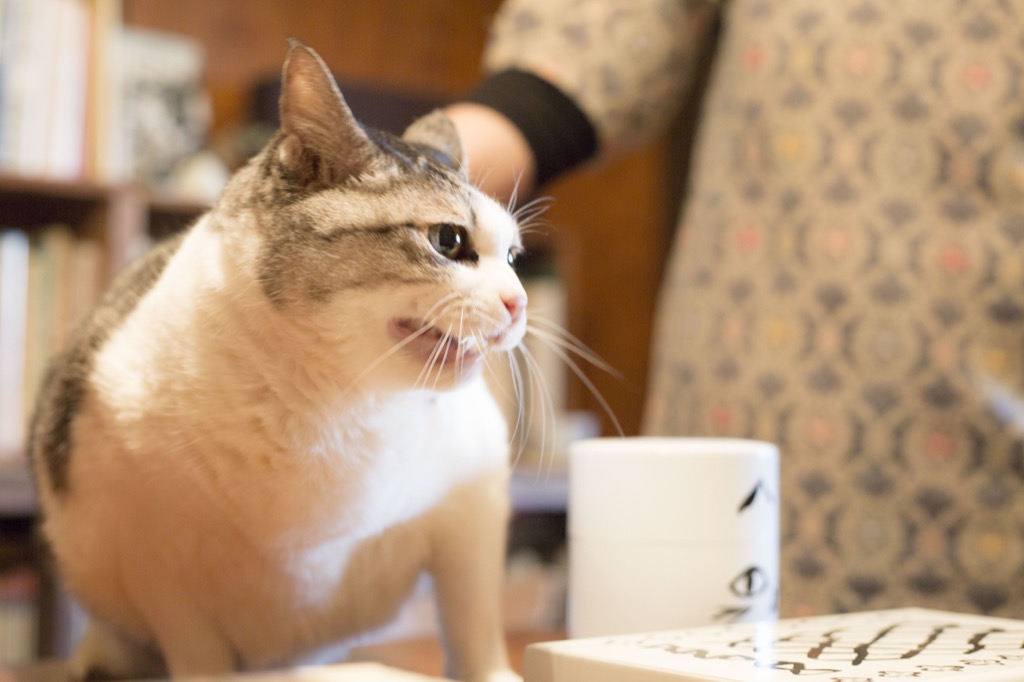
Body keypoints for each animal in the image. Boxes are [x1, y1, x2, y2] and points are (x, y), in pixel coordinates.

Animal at [29, 42, 528, 679]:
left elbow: (474, 627)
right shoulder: (161, 572)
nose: (519, 302)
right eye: (449, 241)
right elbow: (199, 657)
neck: (334, 403)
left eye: (513, 257)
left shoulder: (473, 514)